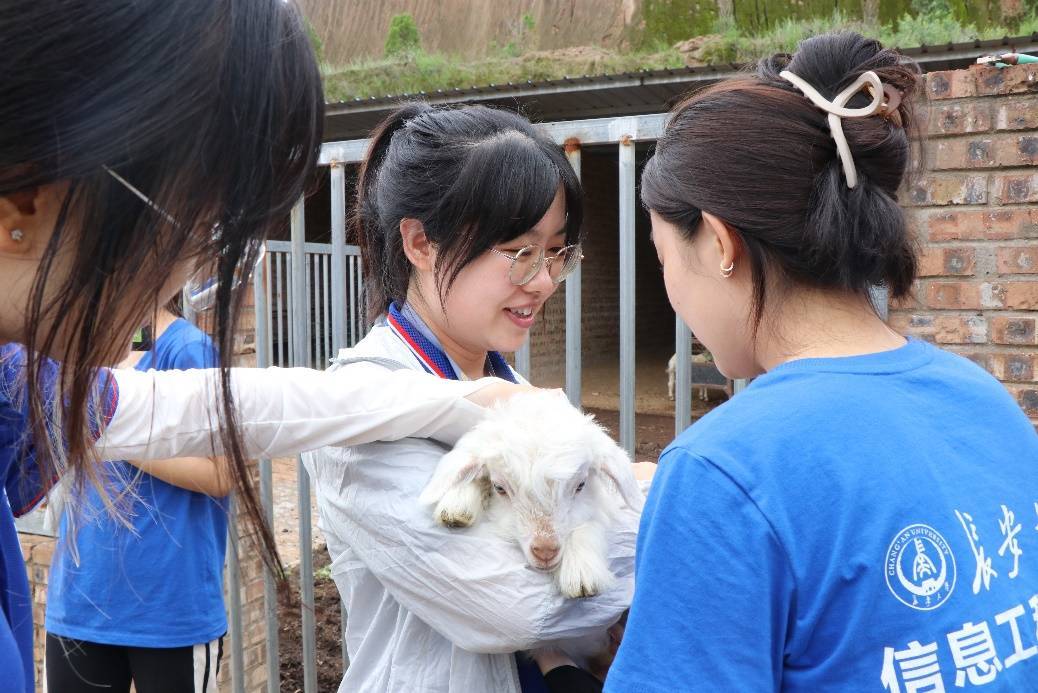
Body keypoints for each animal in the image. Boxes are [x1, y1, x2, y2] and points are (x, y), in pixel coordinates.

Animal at [417, 390, 635, 601]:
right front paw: (457, 504)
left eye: (581, 485)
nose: (545, 551)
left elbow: (592, 518)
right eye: (499, 487)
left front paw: (580, 570)